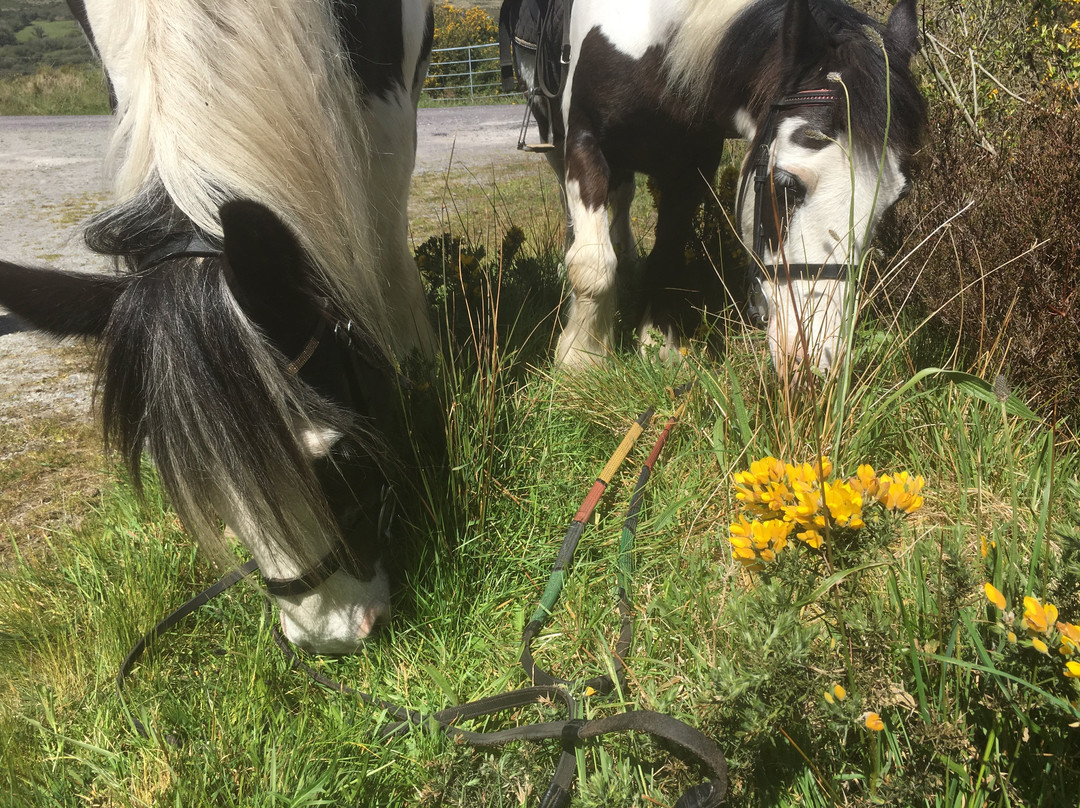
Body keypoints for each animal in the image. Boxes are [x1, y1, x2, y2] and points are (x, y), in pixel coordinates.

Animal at [503, 0, 920, 375]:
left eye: (892, 201)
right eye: (786, 186)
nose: (815, 360)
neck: (653, 43)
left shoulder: (691, 166)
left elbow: (667, 255)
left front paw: (657, 344)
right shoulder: (584, 141)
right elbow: (592, 265)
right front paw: (581, 356)